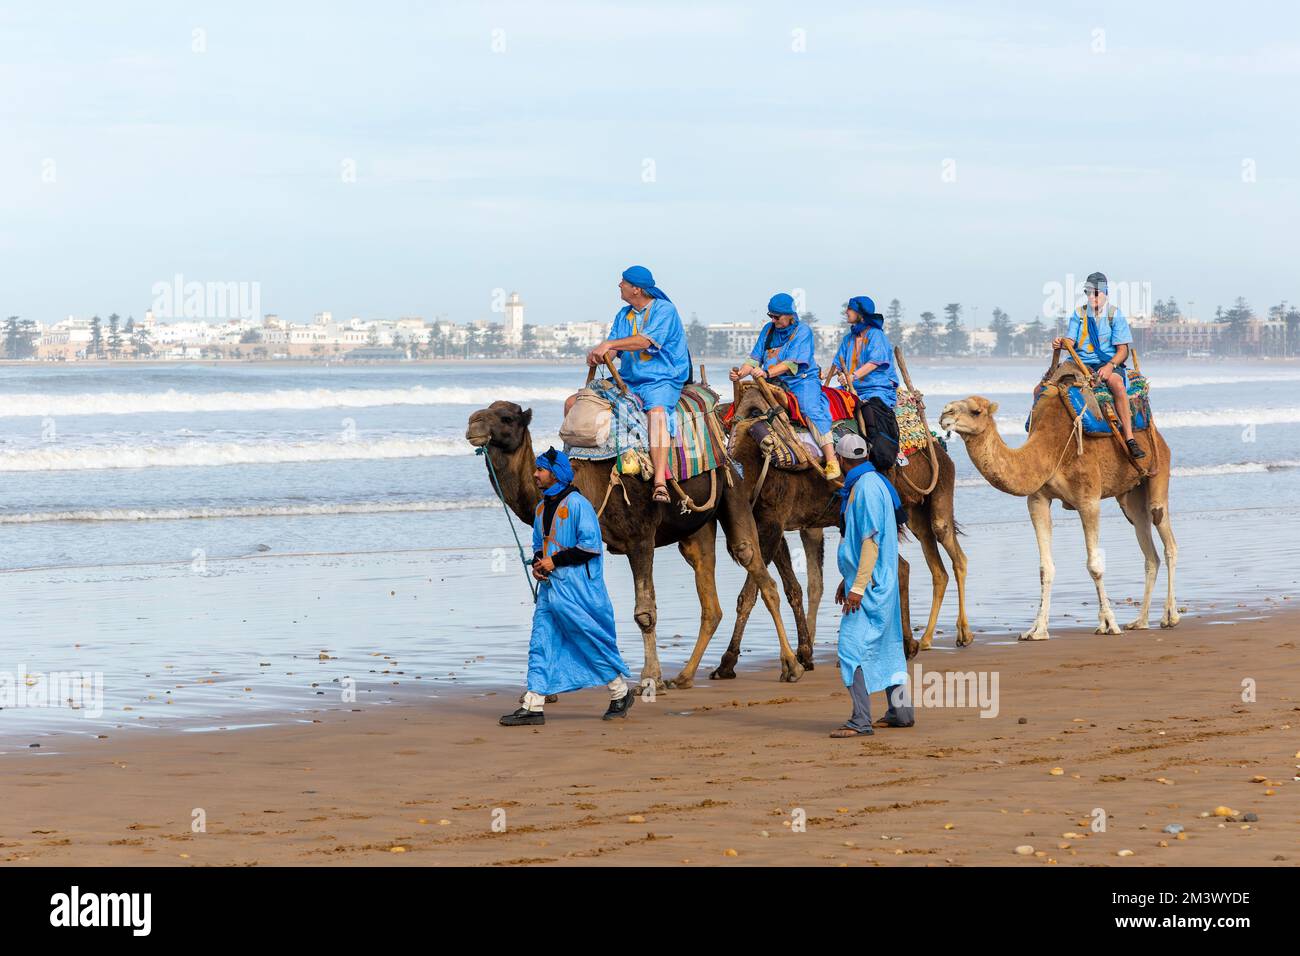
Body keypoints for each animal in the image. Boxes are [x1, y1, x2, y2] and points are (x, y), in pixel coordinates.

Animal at [462, 400, 806, 691]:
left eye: (507, 417)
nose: (472, 423)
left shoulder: (640, 539)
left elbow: (645, 612)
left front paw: (650, 678)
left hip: (733, 491)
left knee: (757, 569)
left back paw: (791, 666)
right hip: (698, 527)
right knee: (710, 597)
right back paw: (684, 676)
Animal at [717, 382, 972, 681]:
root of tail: (937, 451)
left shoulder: (771, 524)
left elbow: (749, 594)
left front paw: (727, 662)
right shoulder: (772, 527)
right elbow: (792, 588)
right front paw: (804, 654)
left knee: (919, 554)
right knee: (905, 565)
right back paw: (907, 644)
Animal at [935, 366, 1180, 642]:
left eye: (975, 410)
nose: (945, 412)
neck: (1048, 448)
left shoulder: (1088, 500)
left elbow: (1095, 565)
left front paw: (1109, 623)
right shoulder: (1038, 500)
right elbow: (1045, 568)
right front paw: (1037, 630)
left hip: (1159, 470)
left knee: (1166, 537)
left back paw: (1170, 617)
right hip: (1129, 496)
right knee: (1148, 548)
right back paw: (1141, 621)